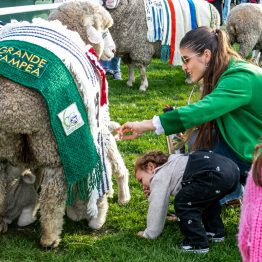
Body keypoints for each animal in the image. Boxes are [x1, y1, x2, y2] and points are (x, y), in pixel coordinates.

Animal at [0, 0, 130, 248]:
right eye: (104, 31)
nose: (112, 51)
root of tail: (12, 106)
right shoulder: (95, 122)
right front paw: (98, 211)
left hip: (6, 143)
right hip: (54, 141)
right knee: (54, 190)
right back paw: (50, 236)